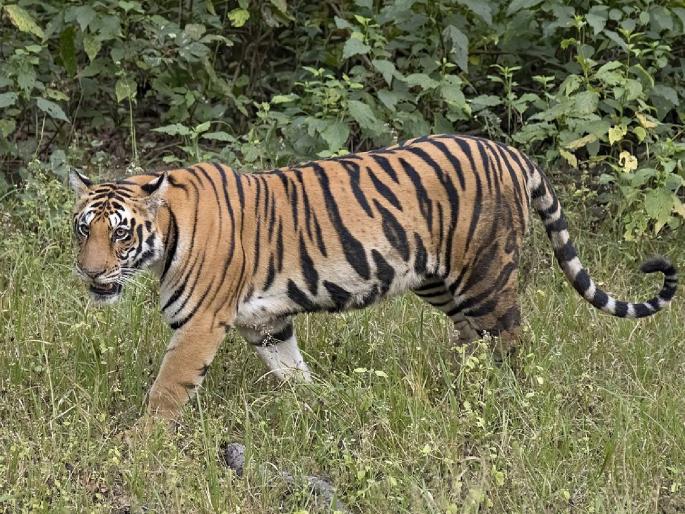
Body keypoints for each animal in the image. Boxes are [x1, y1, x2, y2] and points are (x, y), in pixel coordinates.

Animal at [69, 134, 677, 423]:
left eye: (120, 234)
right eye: (82, 230)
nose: (91, 273)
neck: (166, 235)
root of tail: (508, 151)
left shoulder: (198, 325)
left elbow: (167, 390)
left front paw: (143, 444)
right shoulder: (265, 322)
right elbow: (291, 370)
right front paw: (317, 405)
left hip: (485, 276)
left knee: (510, 341)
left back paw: (502, 400)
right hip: (440, 281)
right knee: (472, 339)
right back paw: (457, 387)